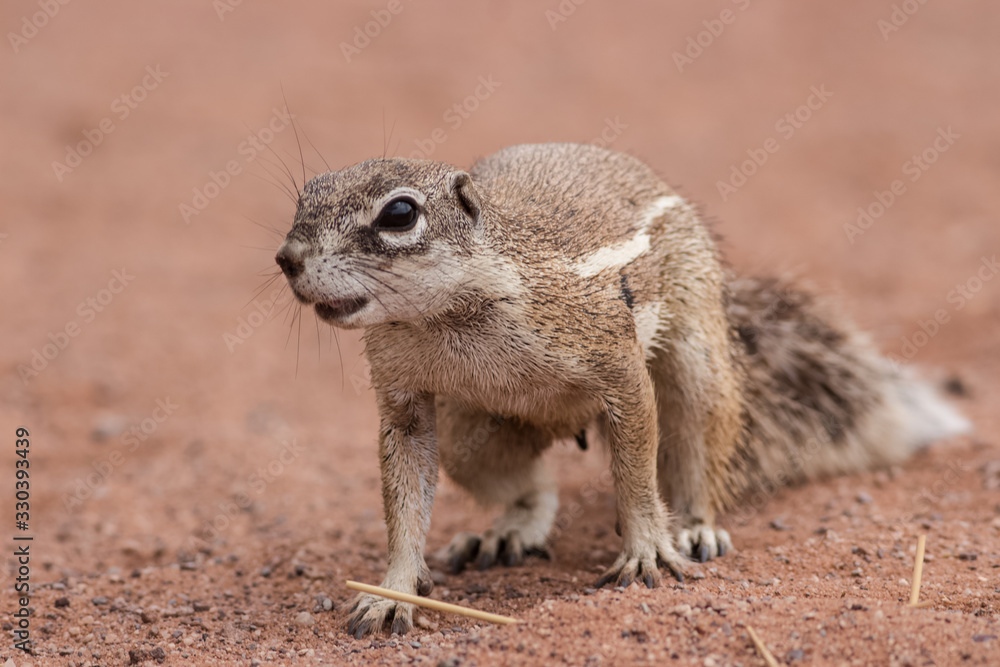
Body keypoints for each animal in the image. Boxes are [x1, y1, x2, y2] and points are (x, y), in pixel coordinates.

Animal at [274, 143, 970, 638]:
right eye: (305, 195)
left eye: (399, 213)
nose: (286, 259)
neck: (450, 315)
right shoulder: (403, 396)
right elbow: (404, 501)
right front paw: (392, 591)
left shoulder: (613, 359)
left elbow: (636, 469)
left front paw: (646, 551)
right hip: (471, 433)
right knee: (529, 487)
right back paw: (505, 533)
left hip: (697, 364)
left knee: (695, 451)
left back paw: (694, 529)